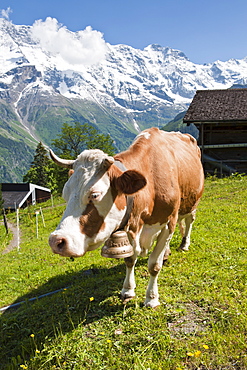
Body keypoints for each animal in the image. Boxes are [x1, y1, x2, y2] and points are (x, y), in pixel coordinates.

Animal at [48, 127, 205, 306]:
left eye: (94, 195)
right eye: (65, 194)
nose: (56, 241)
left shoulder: (168, 223)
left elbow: (154, 265)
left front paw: (151, 298)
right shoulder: (130, 227)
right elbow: (130, 260)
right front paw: (128, 290)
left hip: (193, 202)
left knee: (189, 221)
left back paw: (184, 244)